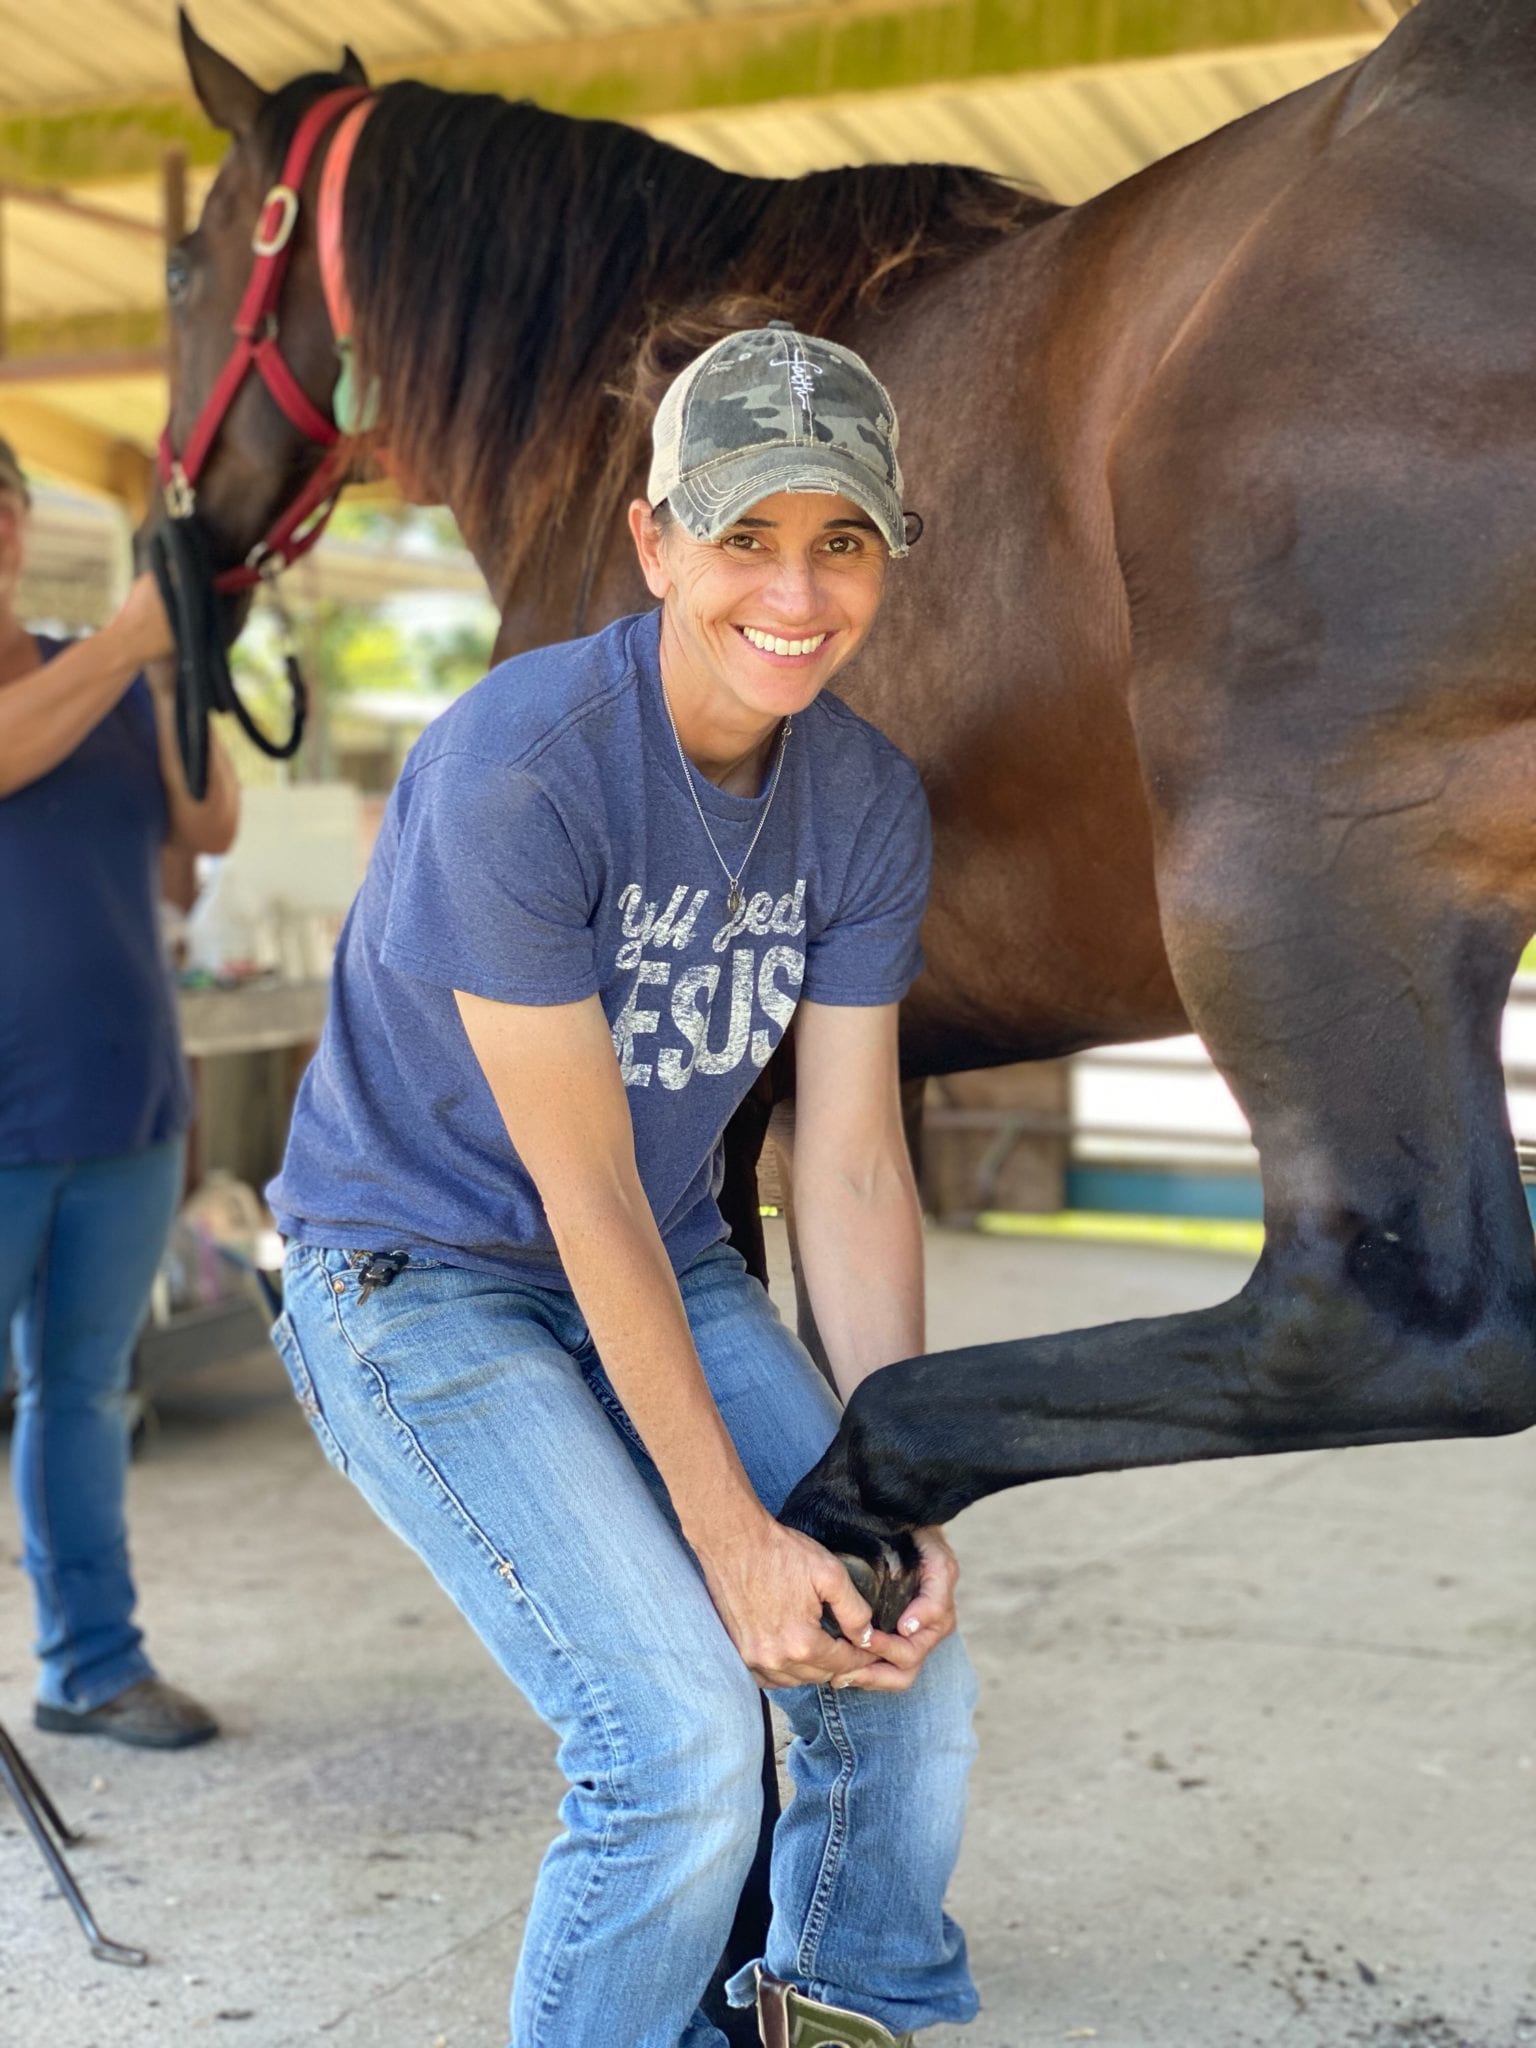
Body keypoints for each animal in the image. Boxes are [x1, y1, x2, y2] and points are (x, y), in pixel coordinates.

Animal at [167, 0, 1536, 1605]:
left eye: (183, 270)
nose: (170, 549)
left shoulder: (727, 1114)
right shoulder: (856, 1077)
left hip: (1300, 876)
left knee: (1394, 1318)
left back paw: (861, 1475)